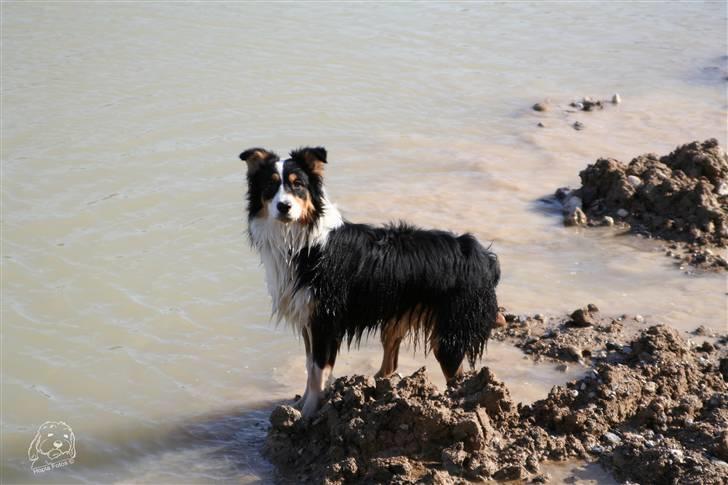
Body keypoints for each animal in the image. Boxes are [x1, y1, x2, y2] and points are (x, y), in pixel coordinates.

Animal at [239, 147, 500, 416]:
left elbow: (318, 371)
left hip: (449, 335)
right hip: (397, 323)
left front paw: (308, 414)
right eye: (270, 185)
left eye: (298, 185)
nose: (284, 206)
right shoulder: (307, 317)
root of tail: (483, 256)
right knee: (391, 365)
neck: (301, 241)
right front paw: (298, 406)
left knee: (457, 377)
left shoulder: (326, 320)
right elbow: (309, 364)